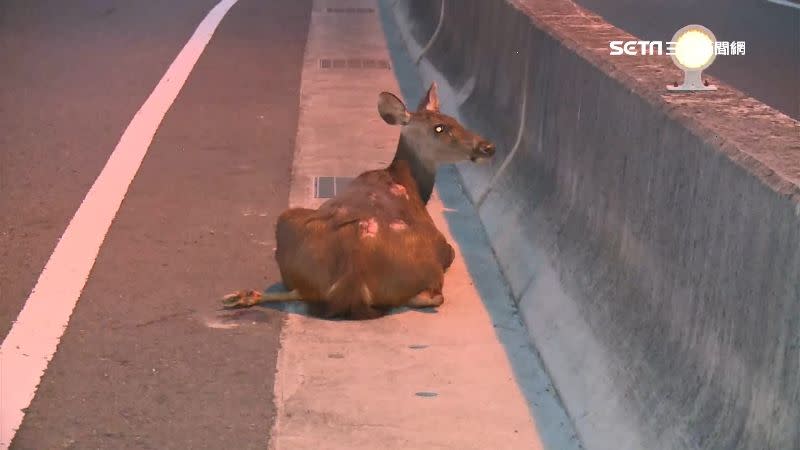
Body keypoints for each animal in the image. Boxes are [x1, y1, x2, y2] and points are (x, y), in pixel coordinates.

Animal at [219, 81, 494, 320]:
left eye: (455, 120)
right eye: (439, 128)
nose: (487, 146)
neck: (408, 182)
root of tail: (351, 281)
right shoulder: (444, 245)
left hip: (287, 222)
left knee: (299, 291)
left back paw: (239, 296)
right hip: (431, 262)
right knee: (433, 295)